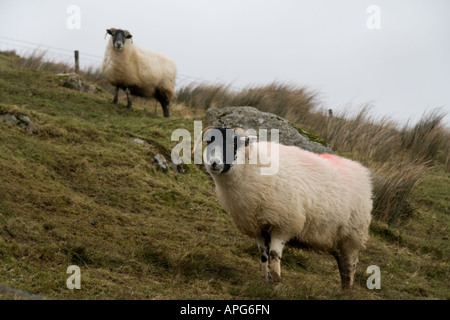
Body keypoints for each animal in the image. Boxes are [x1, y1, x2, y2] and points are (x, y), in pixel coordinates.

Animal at [200, 127, 372, 290]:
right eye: (209, 143)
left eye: (233, 144)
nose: (214, 163)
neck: (250, 166)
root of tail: (362, 172)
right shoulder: (259, 227)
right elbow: (263, 254)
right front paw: (264, 282)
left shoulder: (283, 224)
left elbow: (274, 254)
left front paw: (276, 284)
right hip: (337, 238)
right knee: (342, 263)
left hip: (352, 236)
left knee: (350, 265)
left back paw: (347, 290)